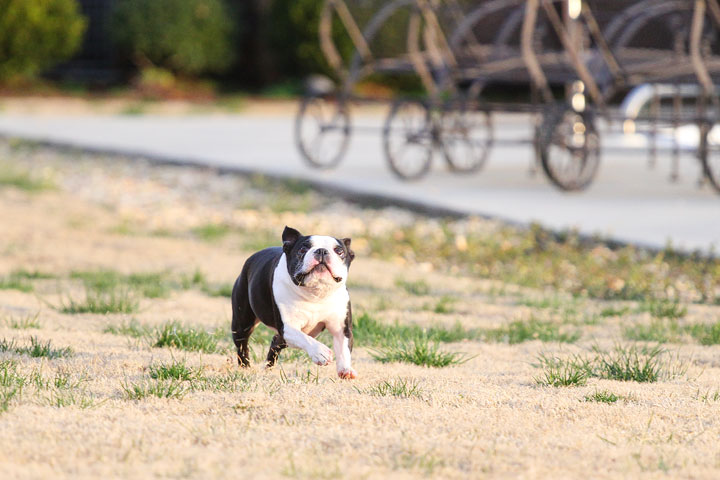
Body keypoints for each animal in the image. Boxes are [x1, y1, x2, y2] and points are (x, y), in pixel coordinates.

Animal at [231, 228, 358, 378]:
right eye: (303, 249)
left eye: (339, 251)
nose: (321, 251)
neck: (315, 294)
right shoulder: (288, 327)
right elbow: (304, 338)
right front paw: (320, 352)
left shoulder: (341, 328)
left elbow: (343, 349)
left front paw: (346, 369)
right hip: (242, 323)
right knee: (242, 346)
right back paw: (245, 368)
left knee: (275, 343)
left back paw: (268, 369)